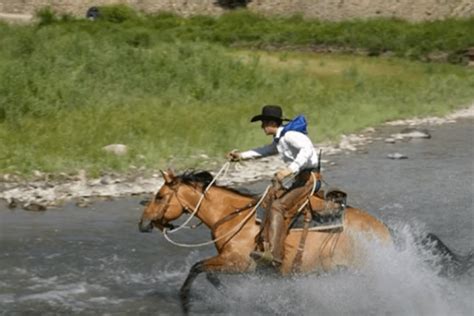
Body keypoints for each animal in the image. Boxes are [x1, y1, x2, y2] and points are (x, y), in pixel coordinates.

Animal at [139, 169, 398, 312]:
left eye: (160, 196)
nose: (142, 223)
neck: (235, 217)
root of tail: (383, 231)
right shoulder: (233, 263)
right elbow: (209, 274)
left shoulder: (240, 263)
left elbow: (197, 268)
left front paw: (184, 300)